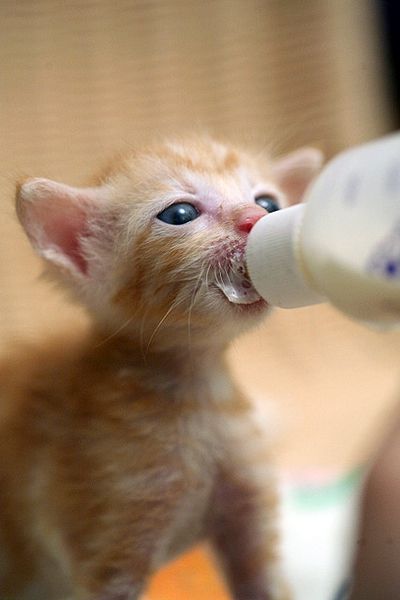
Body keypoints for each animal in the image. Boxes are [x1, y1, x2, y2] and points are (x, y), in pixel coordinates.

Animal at [0, 137, 320, 600]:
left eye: (268, 202)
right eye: (180, 215)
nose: (255, 218)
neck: (201, 398)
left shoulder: (249, 506)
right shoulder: (111, 546)